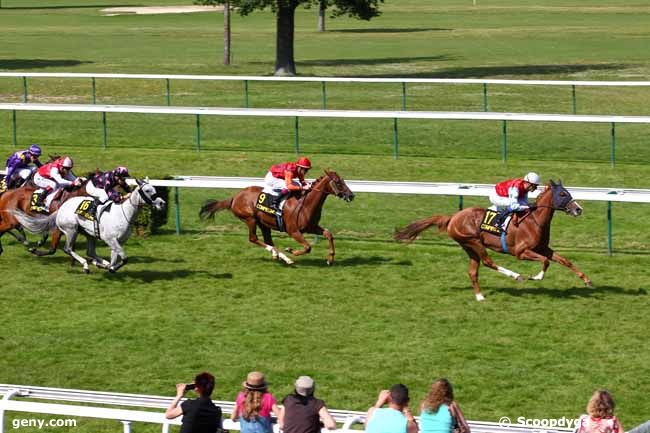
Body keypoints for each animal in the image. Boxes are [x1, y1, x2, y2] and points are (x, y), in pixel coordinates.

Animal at [12, 177, 165, 272]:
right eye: (147, 190)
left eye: (154, 188)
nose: (162, 203)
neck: (123, 213)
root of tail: (61, 207)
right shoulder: (110, 239)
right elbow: (124, 258)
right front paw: (111, 268)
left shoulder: (117, 241)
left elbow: (115, 258)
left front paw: (108, 266)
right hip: (71, 230)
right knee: (68, 249)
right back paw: (86, 265)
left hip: (89, 234)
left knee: (90, 252)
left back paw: (99, 263)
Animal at [197, 169, 352, 264]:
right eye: (338, 182)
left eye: (343, 180)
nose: (351, 195)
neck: (305, 204)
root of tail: (235, 197)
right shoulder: (293, 231)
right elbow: (308, 247)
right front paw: (291, 250)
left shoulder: (311, 227)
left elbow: (328, 234)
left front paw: (330, 259)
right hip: (250, 219)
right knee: (253, 238)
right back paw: (281, 255)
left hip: (263, 223)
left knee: (268, 240)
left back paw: (280, 256)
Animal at [392, 179, 588, 300]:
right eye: (562, 194)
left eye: (567, 192)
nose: (578, 209)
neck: (534, 220)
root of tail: (453, 217)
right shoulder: (521, 252)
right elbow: (546, 261)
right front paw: (537, 277)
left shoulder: (542, 248)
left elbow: (564, 260)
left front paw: (587, 280)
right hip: (474, 241)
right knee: (487, 262)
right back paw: (516, 276)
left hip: (468, 246)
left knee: (473, 271)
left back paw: (480, 296)